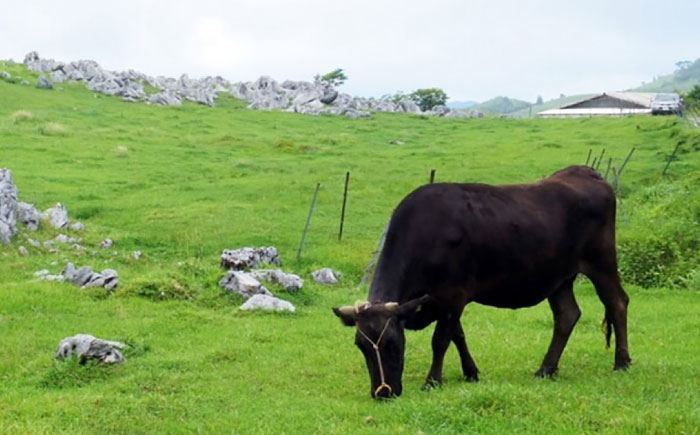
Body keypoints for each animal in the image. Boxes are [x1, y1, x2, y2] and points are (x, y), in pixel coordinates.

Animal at [330, 166, 632, 398]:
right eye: (361, 346)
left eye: (393, 343)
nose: (383, 392)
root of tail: (584, 172)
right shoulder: (443, 300)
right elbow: (458, 336)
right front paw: (471, 372)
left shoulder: (452, 295)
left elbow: (441, 340)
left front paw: (432, 381)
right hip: (559, 278)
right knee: (567, 315)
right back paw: (546, 369)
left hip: (601, 262)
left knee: (617, 301)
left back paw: (621, 362)